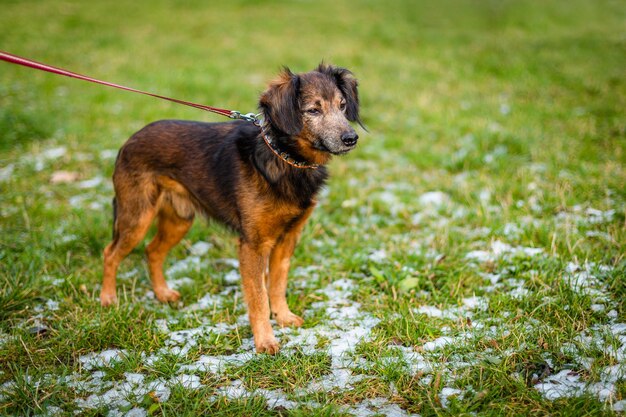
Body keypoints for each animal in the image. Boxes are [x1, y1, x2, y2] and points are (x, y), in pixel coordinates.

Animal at [98, 63, 360, 352]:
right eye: (313, 110)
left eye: (342, 106)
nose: (351, 138)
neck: (285, 159)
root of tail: (129, 141)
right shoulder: (253, 245)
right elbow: (258, 296)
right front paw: (265, 341)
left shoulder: (288, 238)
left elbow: (277, 284)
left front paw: (283, 317)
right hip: (137, 217)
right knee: (110, 253)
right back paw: (108, 299)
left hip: (179, 220)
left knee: (152, 251)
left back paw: (163, 293)